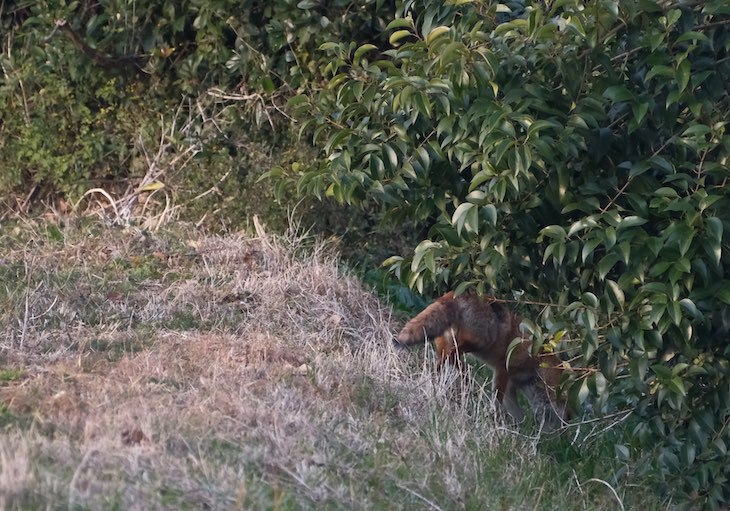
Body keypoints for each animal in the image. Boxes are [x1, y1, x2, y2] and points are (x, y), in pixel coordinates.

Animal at [392, 292, 568, 428]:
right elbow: (497, 400)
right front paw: (496, 421)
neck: (535, 360)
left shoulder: (511, 386)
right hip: (480, 342)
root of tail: (457, 293)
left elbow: (516, 412)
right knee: (454, 355)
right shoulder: (503, 369)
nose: (570, 417)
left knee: (447, 360)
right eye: (564, 395)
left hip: (446, 346)